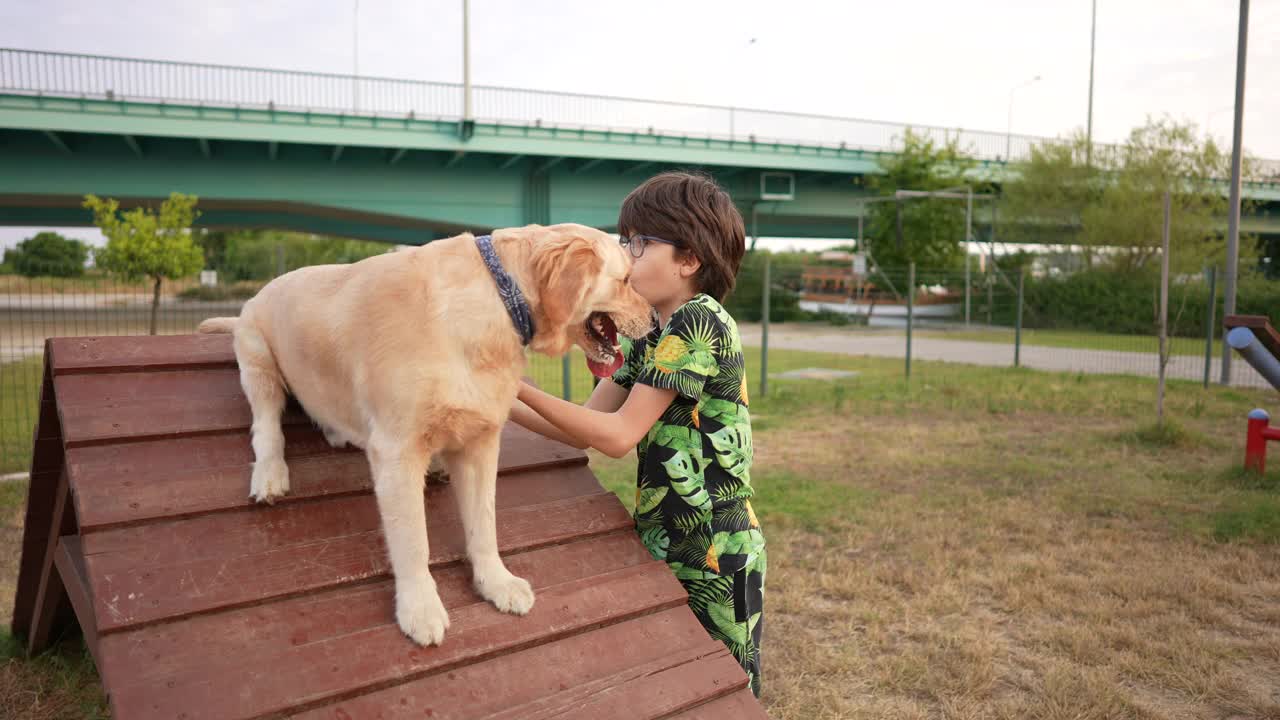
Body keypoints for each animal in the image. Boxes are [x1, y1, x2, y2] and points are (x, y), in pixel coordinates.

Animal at [203, 221, 655, 640]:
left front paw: (496, 583)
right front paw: (419, 608)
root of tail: (253, 298)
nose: (654, 319)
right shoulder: (396, 451)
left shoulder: (480, 442)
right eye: (627, 279)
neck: (497, 302)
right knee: (266, 425)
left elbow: (484, 523)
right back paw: (271, 475)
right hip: (258, 359)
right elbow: (412, 539)